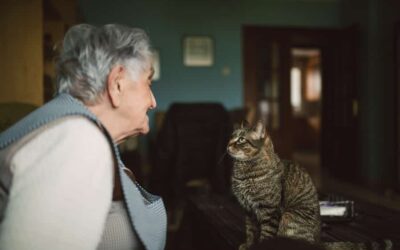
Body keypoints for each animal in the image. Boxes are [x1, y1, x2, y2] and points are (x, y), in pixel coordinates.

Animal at [227, 120, 392, 249]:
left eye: (241, 140)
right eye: (231, 137)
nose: (228, 146)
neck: (243, 171)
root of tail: (318, 243)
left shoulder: (269, 210)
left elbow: (266, 234)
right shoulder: (248, 210)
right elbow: (250, 232)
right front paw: (249, 245)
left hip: (288, 216)